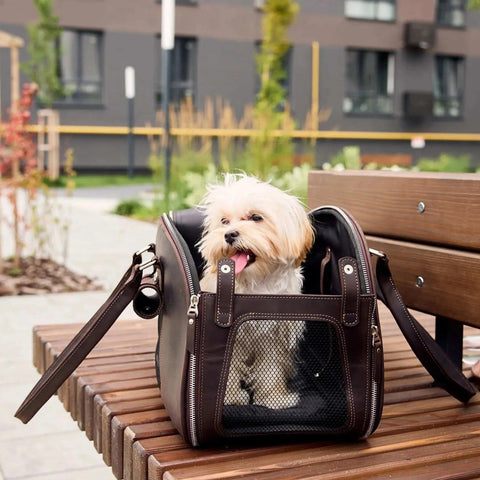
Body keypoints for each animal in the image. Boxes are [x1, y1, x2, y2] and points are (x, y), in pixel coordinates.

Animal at [199, 174, 316, 410]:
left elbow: (270, 369)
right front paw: (230, 397)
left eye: (256, 217)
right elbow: (227, 369)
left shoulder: (274, 336)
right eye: (224, 221)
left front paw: (274, 398)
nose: (229, 235)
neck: (256, 283)